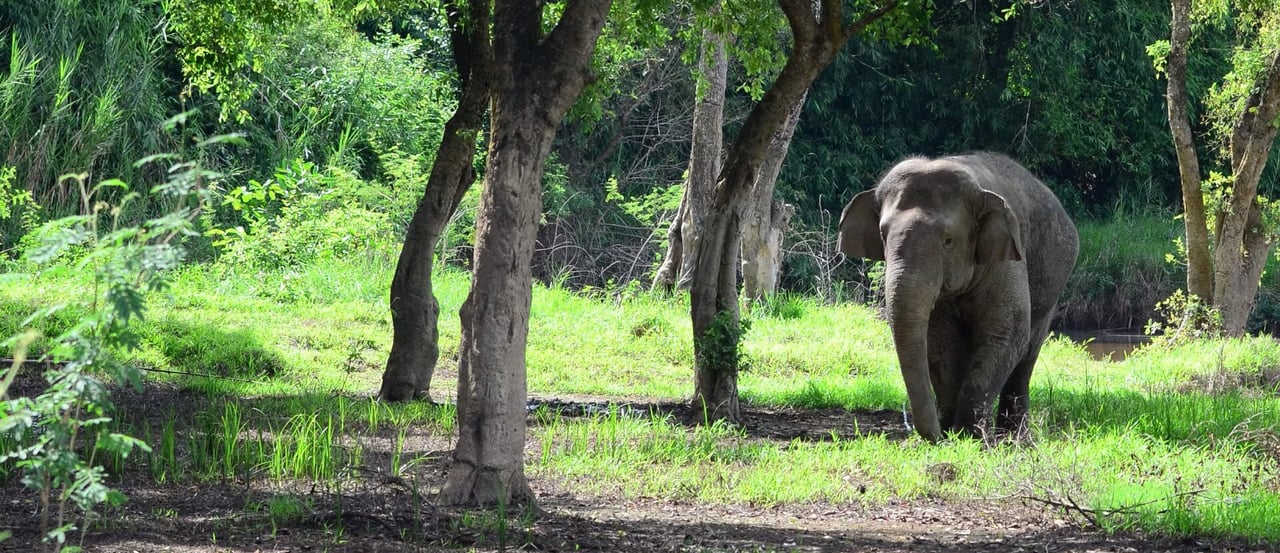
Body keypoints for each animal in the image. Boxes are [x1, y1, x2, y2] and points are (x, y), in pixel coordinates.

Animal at [834, 153, 1075, 442]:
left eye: (948, 241)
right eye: (882, 235)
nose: (937, 436)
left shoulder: (1007, 260)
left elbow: (1006, 335)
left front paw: (970, 435)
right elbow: (940, 344)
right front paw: (954, 432)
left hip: (1053, 284)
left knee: (1027, 353)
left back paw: (1014, 439)